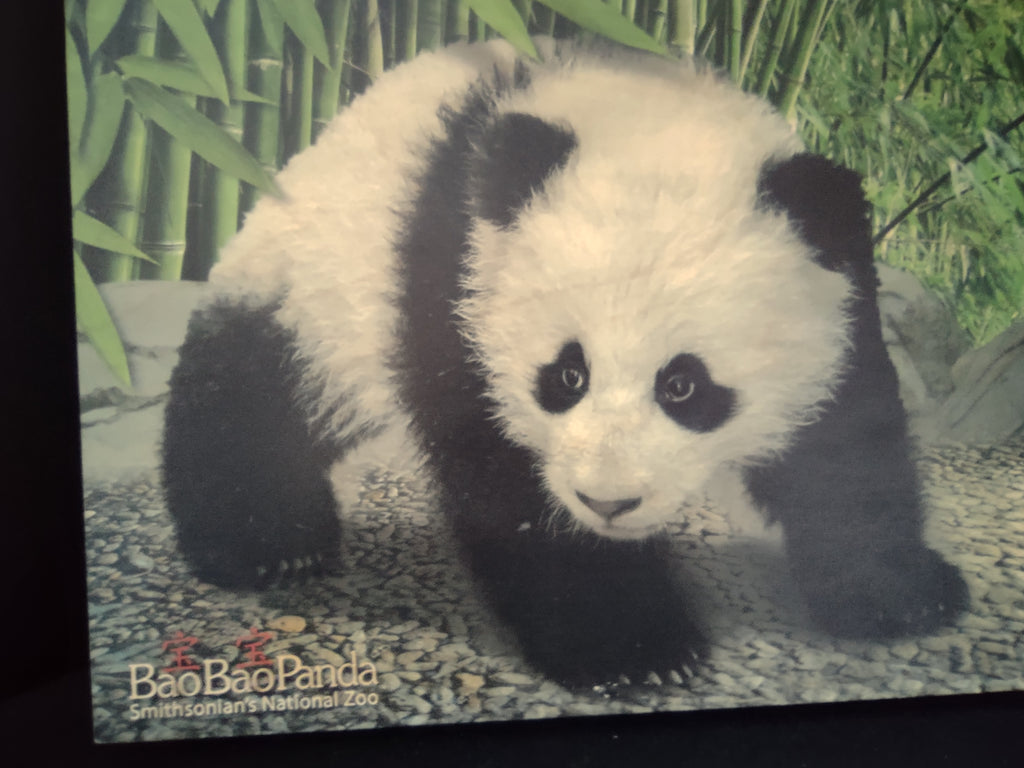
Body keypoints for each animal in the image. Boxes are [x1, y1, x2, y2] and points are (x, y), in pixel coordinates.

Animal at [163, 37, 968, 687]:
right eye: (565, 376)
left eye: (684, 386)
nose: (608, 503)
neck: (651, 124)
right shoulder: (456, 282)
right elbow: (508, 478)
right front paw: (633, 650)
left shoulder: (838, 289)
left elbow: (843, 443)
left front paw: (903, 593)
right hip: (311, 288)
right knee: (249, 394)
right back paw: (268, 546)